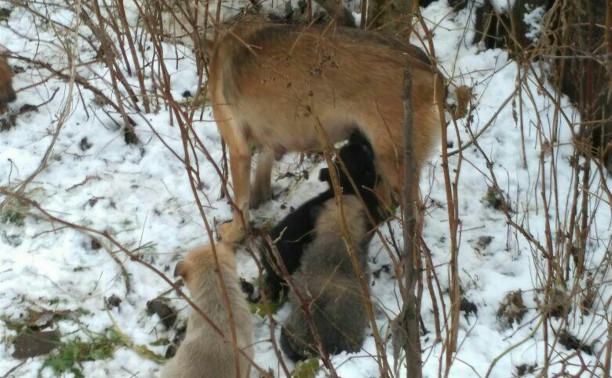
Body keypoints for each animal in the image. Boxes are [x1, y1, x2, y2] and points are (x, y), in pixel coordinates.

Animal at [206, 22, 444, 242]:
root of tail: (427, 66)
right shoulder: (267, 142)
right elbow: (260, 176)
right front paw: (260, 199)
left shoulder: (239, 151)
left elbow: (241, 204)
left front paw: (235, 232)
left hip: (394, 166)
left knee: (415, 218)